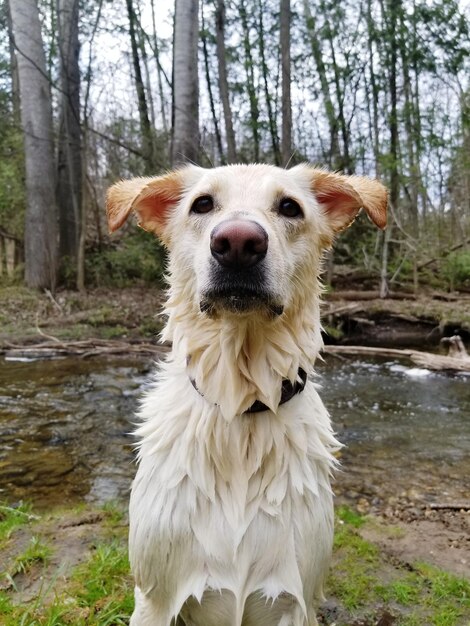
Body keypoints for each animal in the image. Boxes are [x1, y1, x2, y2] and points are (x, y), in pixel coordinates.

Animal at [106, 163, 386, 620]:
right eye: (202, 203)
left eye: (289, 207)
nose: (238, 243)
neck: (240, 404)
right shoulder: (154, 600)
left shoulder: (298, 601)